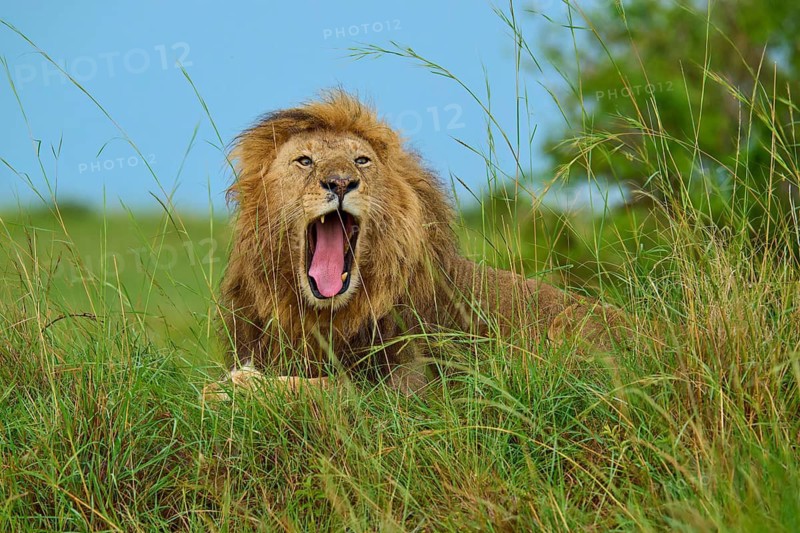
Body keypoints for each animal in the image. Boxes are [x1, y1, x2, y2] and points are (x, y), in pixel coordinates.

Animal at [204, 91, 627, 399]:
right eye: (304, 161)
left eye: (362, 161)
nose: (340, 183)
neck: (325, 316)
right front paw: (228, 385)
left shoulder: (408, 389)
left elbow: (334, 387)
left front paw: (242, 386)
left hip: (573, 323)